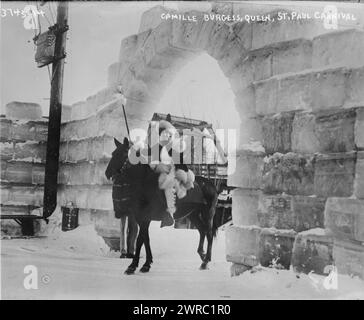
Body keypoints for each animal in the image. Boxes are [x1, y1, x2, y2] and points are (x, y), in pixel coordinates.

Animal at [104, 136, 219, 274]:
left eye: (122, 154)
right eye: (113, 153)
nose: (107, 173)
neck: (144, 184)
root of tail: (211, 184)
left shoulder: (145, 218)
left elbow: (140, 240)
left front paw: (135, 265)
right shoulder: (140, 218)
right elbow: (145, 239)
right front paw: (145, 263)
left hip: (208, 214)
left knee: (209, 234)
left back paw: (206, 260)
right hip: (193, 215)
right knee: (202, 231)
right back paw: (202, 257)